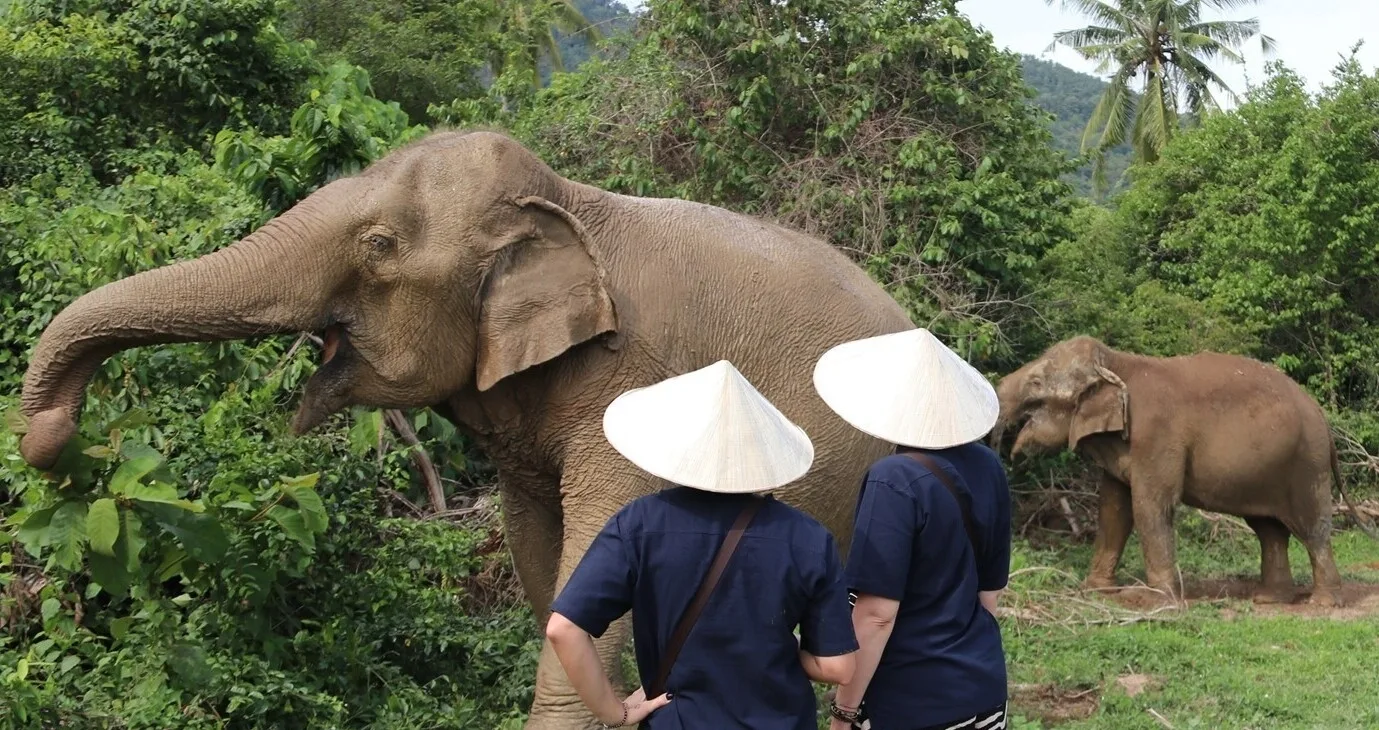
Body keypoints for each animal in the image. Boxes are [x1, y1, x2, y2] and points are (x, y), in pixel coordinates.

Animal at [991, 335, 1372, 607]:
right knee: (1269, 530)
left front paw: (1151, 600)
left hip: (1307, 463)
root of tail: (1322, 416)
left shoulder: (1156, 435)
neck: (1117, 362)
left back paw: (1322, 603)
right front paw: (1095, 590)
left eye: (1036, 383)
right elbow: (1114, 508)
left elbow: (1150, 505)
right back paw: (1269, 599)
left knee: (1312, 527)